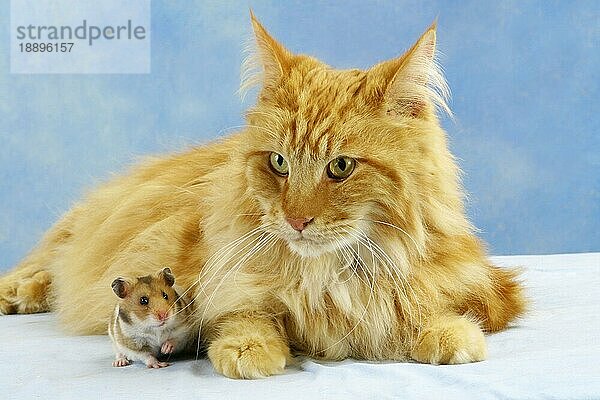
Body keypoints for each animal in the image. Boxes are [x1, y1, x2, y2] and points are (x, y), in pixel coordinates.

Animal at [0, 14, 524, 378]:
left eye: (341, 167)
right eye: (278, 163)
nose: (295, 220)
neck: (331, 275)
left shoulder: (491, 291)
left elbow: (424, 310)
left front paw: (448, 334)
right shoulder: (213, 280)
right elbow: (246, 313)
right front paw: (250, 349)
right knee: (48, 265)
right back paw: (18, 295)